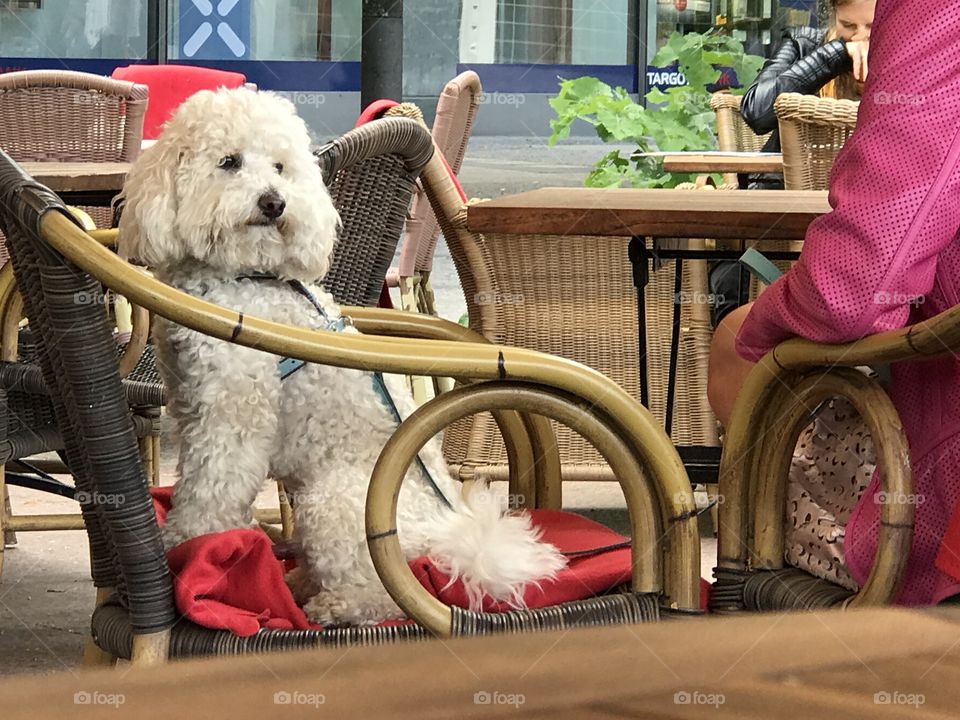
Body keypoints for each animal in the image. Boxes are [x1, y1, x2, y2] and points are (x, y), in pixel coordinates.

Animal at [116, 86, 568, 624]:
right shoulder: (191, 400)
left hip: (333, 503)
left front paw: (188, 539)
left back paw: (334, 604)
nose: (274, 203)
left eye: (280, 166)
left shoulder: (233, 415)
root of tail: (449, 538)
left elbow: (214, 486)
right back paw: (298, 580)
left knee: (386, 591)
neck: (246, 277)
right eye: (229, 162)